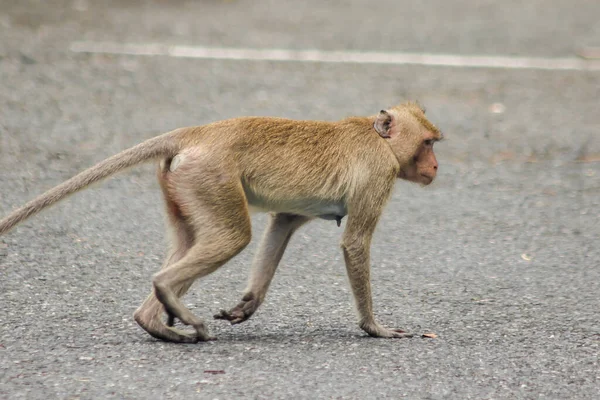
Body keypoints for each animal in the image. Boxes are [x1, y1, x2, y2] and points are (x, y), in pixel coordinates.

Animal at [0, 101, 440, 342]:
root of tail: (200, 133)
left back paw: (154, 322)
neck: (377, 139)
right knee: (233, 237)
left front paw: (249, 303)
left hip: (184, 184)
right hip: (211, 177)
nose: (436, 166)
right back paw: (167, 295)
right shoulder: (376, 176)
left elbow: (282, 223)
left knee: (191, 241)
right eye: (427, 143)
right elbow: (354, 244)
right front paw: (374, 327)